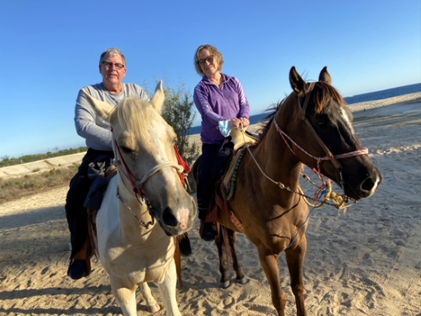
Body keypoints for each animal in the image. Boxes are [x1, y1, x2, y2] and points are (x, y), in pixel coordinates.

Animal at [83, 82, 199, 316]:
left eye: (173, 138)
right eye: (126, 148)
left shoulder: (167, 276)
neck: (138, 238)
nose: (181, 213)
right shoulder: (121, 289)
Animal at [193, 65, 380, 314]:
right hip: (214, 223)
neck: (276, 197)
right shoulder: (266, 254)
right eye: (322, 120)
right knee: (219, 242)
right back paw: (224, 276)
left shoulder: (298, 246)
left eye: (349, 117)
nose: (370, 180)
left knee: (230, 241)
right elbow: (279, 299)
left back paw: (239, 274)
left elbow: (298, 289)